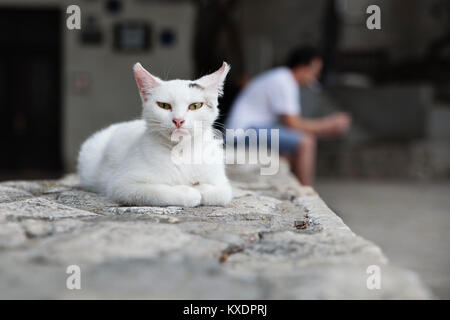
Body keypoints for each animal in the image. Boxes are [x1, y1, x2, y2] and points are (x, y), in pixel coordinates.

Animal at [77, 62, 232, 208]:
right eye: (164, 105)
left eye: (195, 106)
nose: (178, 120)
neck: (181, 151)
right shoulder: (122, 185)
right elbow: (158, 192)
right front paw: (189, 192)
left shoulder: (222, 184)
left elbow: (221, 193)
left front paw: (200, 187)